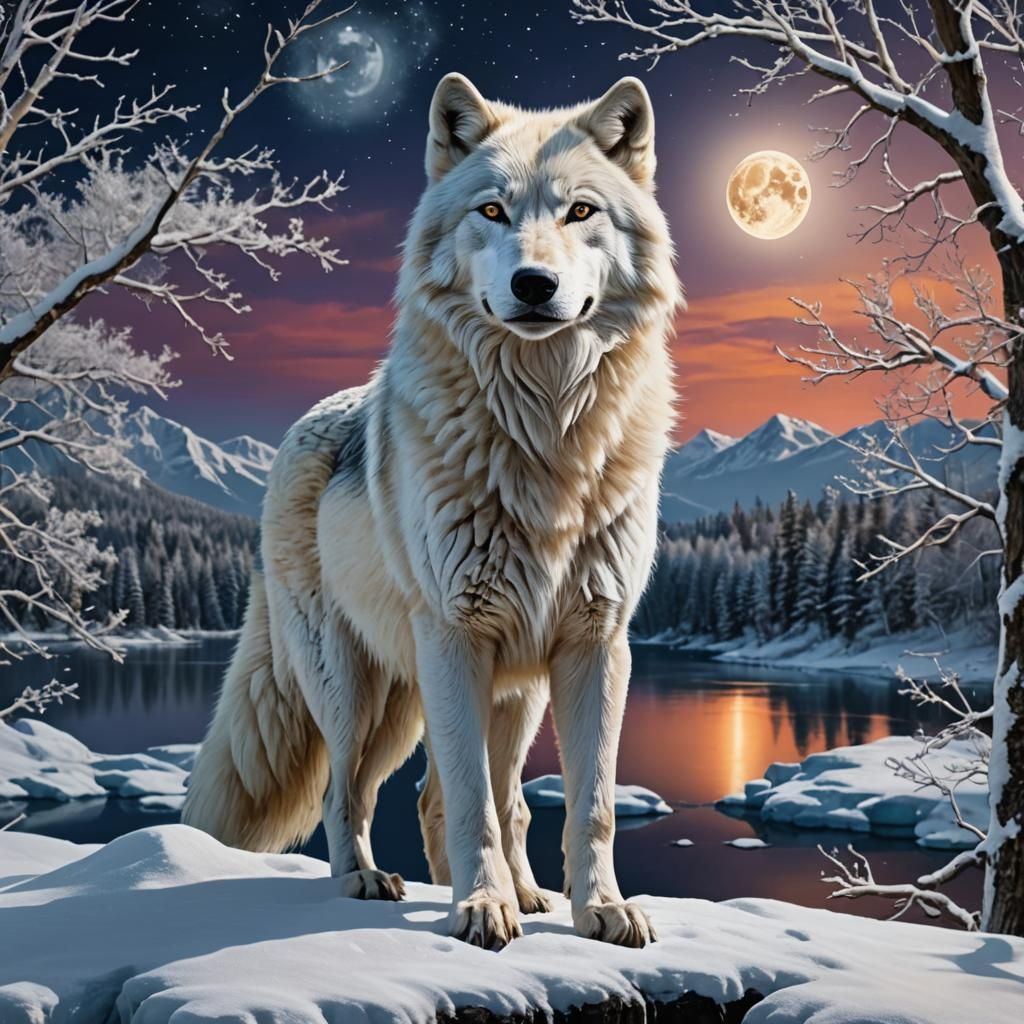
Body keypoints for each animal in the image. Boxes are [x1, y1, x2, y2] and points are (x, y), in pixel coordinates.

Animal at [183, 73, 680, 950]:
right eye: (492, 211)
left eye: (581, 211)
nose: (533, 284)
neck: (544, 435)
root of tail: (300, 428)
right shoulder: (455, 633)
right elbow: (472, 804)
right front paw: (480, 910)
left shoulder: (595, 644)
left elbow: (588, 805)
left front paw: (601, 909)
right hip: (362, 692)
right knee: (352, 792)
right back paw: (369, 882)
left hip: (500, 694)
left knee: (480, 795)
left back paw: (523, 894)